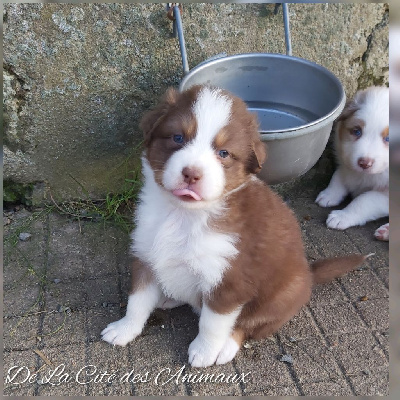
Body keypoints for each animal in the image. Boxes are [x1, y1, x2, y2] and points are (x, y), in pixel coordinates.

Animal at [102, 86, 366, 368]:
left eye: (224, 153)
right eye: (177, 138)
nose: (191, 174)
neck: (182, 215)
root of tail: (309, 274)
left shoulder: (229, 279)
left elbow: (212, 323)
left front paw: (204, 351)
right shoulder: (146, 255)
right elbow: (137, 301)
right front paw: (123, 329)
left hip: (280, 296)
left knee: (247, 326)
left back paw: (225, 347)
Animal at [316, 85, 388, 239]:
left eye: (388, 139)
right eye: (357, 131)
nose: (364, 163)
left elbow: (365, 200)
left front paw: (342, 216)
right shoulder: (347, 161)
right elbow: (338, 175)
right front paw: (329, 195)